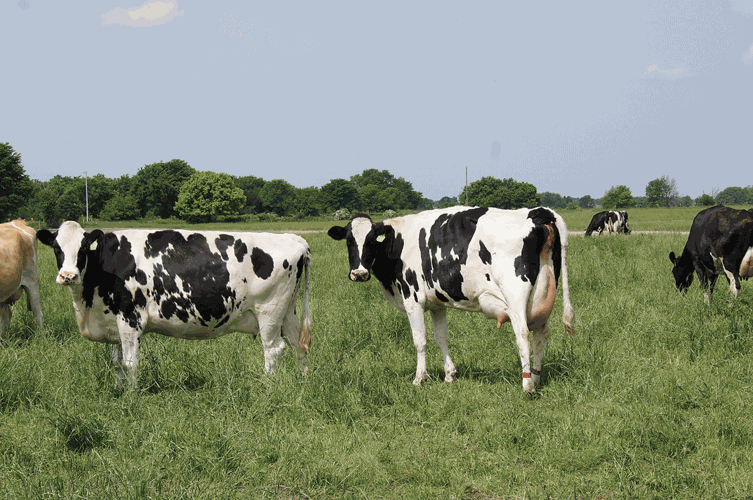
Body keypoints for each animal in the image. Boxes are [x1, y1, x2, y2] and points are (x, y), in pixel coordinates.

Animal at [37, 221, 311, 388]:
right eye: (56, 248)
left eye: (83, 247)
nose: (68, 276)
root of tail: (294, 239)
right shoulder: (113, 321)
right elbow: (116, 362)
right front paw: (118, 390)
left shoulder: (130, 318)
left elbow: (129, 363)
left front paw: (130, 397)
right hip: (288, 313)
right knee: (299, 345)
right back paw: (302, 381)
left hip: (269, 313)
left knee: (273, 350)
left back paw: (267, 387)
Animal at [328, 206, 574, 394]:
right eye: (349, 241)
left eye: (371, 241)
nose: (359, 273)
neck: (397, 243)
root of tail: (538, 211)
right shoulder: (437, 304)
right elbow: (441, 338)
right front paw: (450, 375)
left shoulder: (412, 300)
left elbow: (420, 341)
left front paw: (419, 378)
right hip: (542, 298)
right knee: (541, 335)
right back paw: (536, 379)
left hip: (516, 295)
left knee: (522, 334)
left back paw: (527, 385)